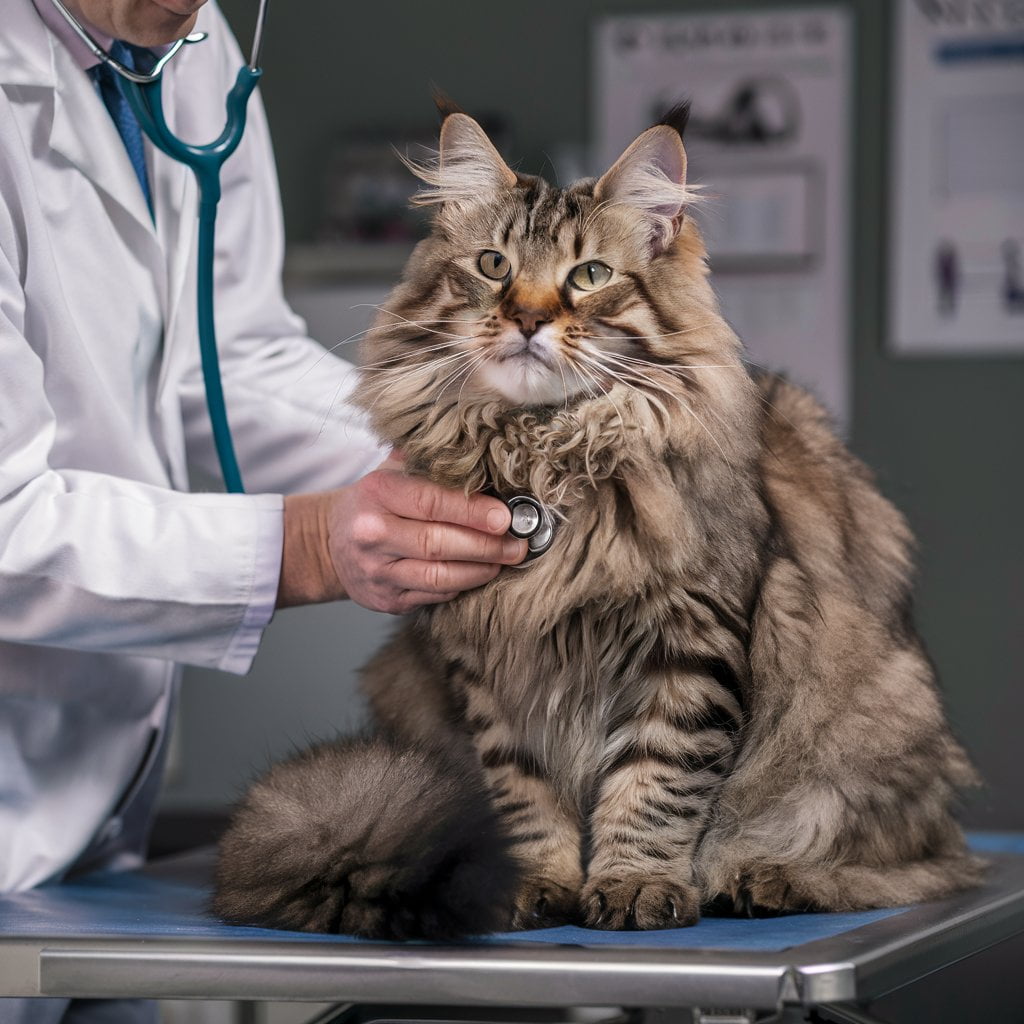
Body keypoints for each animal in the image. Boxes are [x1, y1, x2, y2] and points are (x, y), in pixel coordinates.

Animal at [209, 101, 983, 937]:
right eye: (494, 266)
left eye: (589, 276)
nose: (526, 319)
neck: (545, 452)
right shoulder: (490, 665)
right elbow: (522, 795)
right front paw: (534, 883)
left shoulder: (686, 647)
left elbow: (654, 786)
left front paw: (635, 883)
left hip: (872, 731)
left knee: (914, 864)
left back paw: (764, 877)